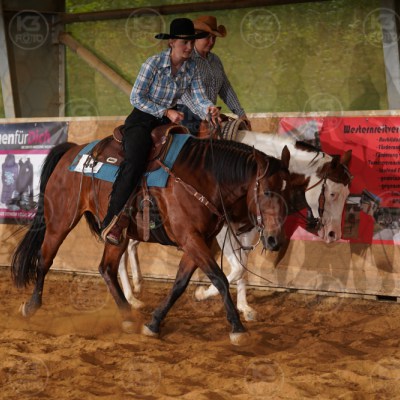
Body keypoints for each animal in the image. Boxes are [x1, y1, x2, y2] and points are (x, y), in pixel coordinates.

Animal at [11, 134, 293, 345]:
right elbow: (219, 277)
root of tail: (74, 150)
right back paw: (31, 306)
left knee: (107, 268)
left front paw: (153, 323)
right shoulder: (191, 238)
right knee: (44, 259)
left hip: (118, 235)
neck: (204, 178)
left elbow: (180, 283)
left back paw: (127, 315)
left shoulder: (198, 241)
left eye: (289, 190)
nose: (274, 240)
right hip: (60, 221)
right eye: (267, 192)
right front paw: (237, 328)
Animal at [118, 131, 352, 321]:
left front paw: (244, 307)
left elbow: (243, 266)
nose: (334, 234)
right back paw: (130, 297)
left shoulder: (248, 227)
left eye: (347, 193)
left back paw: (137, 284)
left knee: (129, 246)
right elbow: (237, 268)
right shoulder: (224, 230)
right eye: (332, 193)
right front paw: (203, 293)